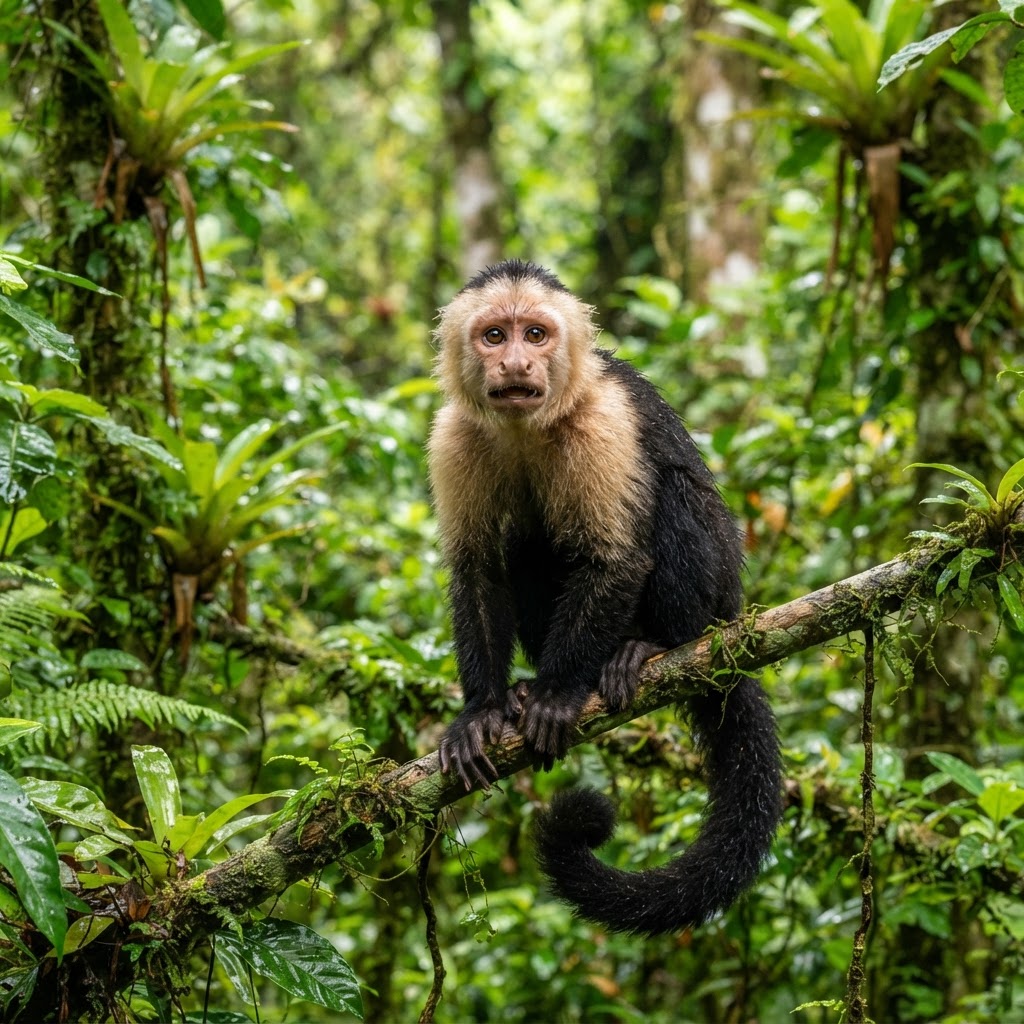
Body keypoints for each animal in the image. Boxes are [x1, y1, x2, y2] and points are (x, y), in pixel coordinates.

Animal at [428, 259, 782, 936]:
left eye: (536, 334)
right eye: (494, 336)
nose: (516, 364)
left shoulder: (603, 418)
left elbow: (616, 559)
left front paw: (558, 694)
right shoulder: (454, 436)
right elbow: (478, 571)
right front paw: (483, 710)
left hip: (716, 595)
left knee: (672, 494)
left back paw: (652, 647)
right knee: (526, 543)